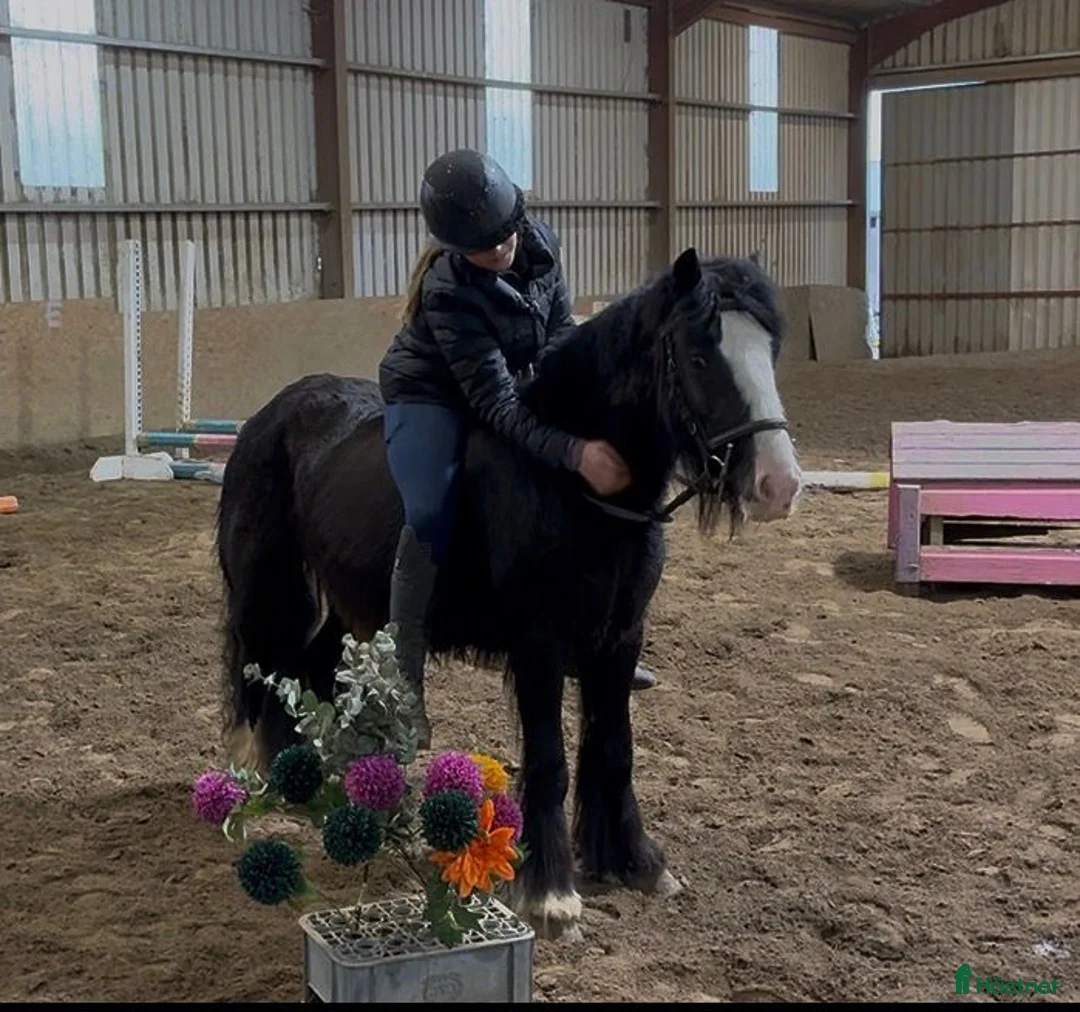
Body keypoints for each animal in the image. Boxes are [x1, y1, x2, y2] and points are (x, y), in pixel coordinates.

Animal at [214, 246, 803, 940]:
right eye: (700, 354)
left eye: (771, 349)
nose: (780, 485)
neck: (574, 481)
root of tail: (272, 413)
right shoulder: (540, 645)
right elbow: (549, 762)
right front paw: (550, 893)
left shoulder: (619, 639)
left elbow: (614, 750)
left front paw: (634, 862)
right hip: (268, 587)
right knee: (264, 666)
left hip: (351, 601)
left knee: (314, 665)